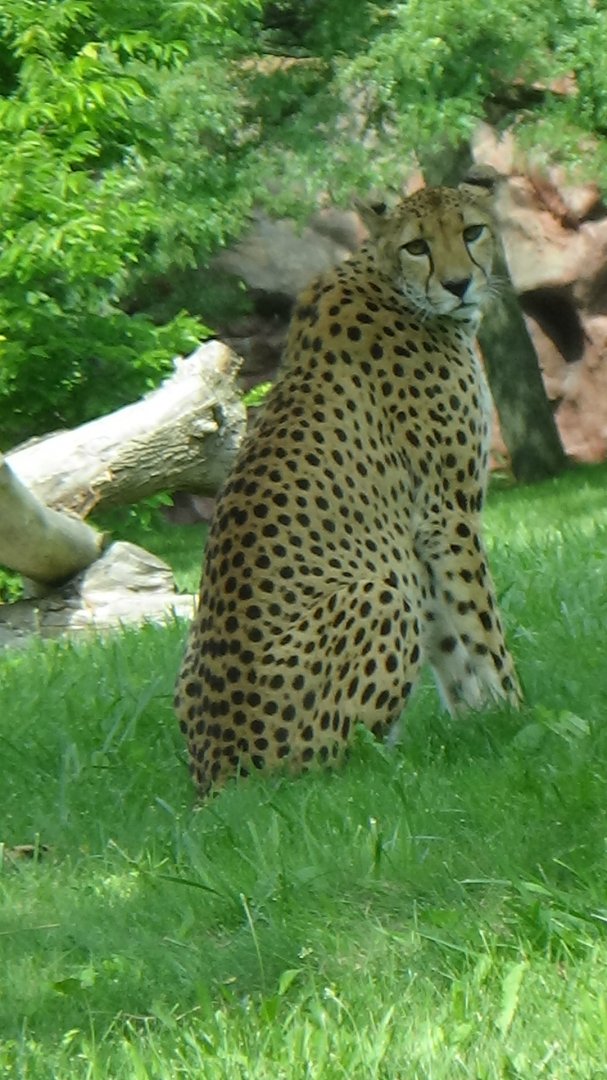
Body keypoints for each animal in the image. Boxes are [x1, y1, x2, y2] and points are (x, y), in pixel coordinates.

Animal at [175, 166, 521, 798]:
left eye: (473, 231)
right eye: (417, 246)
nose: (459, 284)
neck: (390, 278)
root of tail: (220, 778)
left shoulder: (417, 535)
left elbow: (450, 637)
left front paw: (479, 724)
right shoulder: (448, 513)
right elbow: (483, 628)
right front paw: (517, 712)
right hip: (375, 593)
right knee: (341, 765)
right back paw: (397, 765)